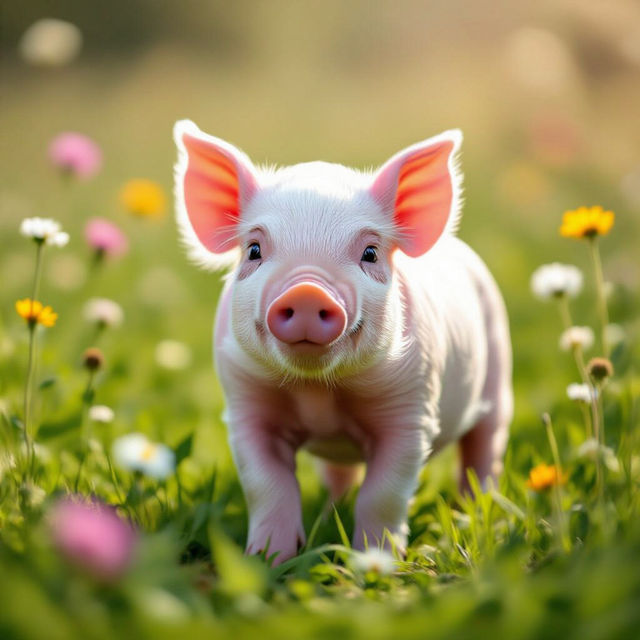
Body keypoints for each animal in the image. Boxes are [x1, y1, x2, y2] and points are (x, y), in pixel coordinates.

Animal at [173, 120, 513, 564]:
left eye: (370, 252)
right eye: (254, 249)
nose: (307, 291)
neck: (319, 390)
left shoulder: (412, 410)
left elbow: (384, 494)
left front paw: (376, 563)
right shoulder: (245, 406)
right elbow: (268, 486)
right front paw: (268, 559)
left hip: (499, 369)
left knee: (484, 450)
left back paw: (475, 511)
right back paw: (330, 511)